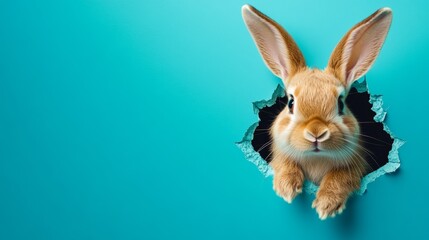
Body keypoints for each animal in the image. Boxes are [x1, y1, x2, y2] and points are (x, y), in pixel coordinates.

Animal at [241, 4, 392, 219]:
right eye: (290, 102)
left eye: (340, 103)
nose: (316, 132)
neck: (316, 157)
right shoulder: (279, 154)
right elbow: (284, 163)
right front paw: (287, 188)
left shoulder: (356, 164)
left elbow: (341, 176)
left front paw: (326, 205)